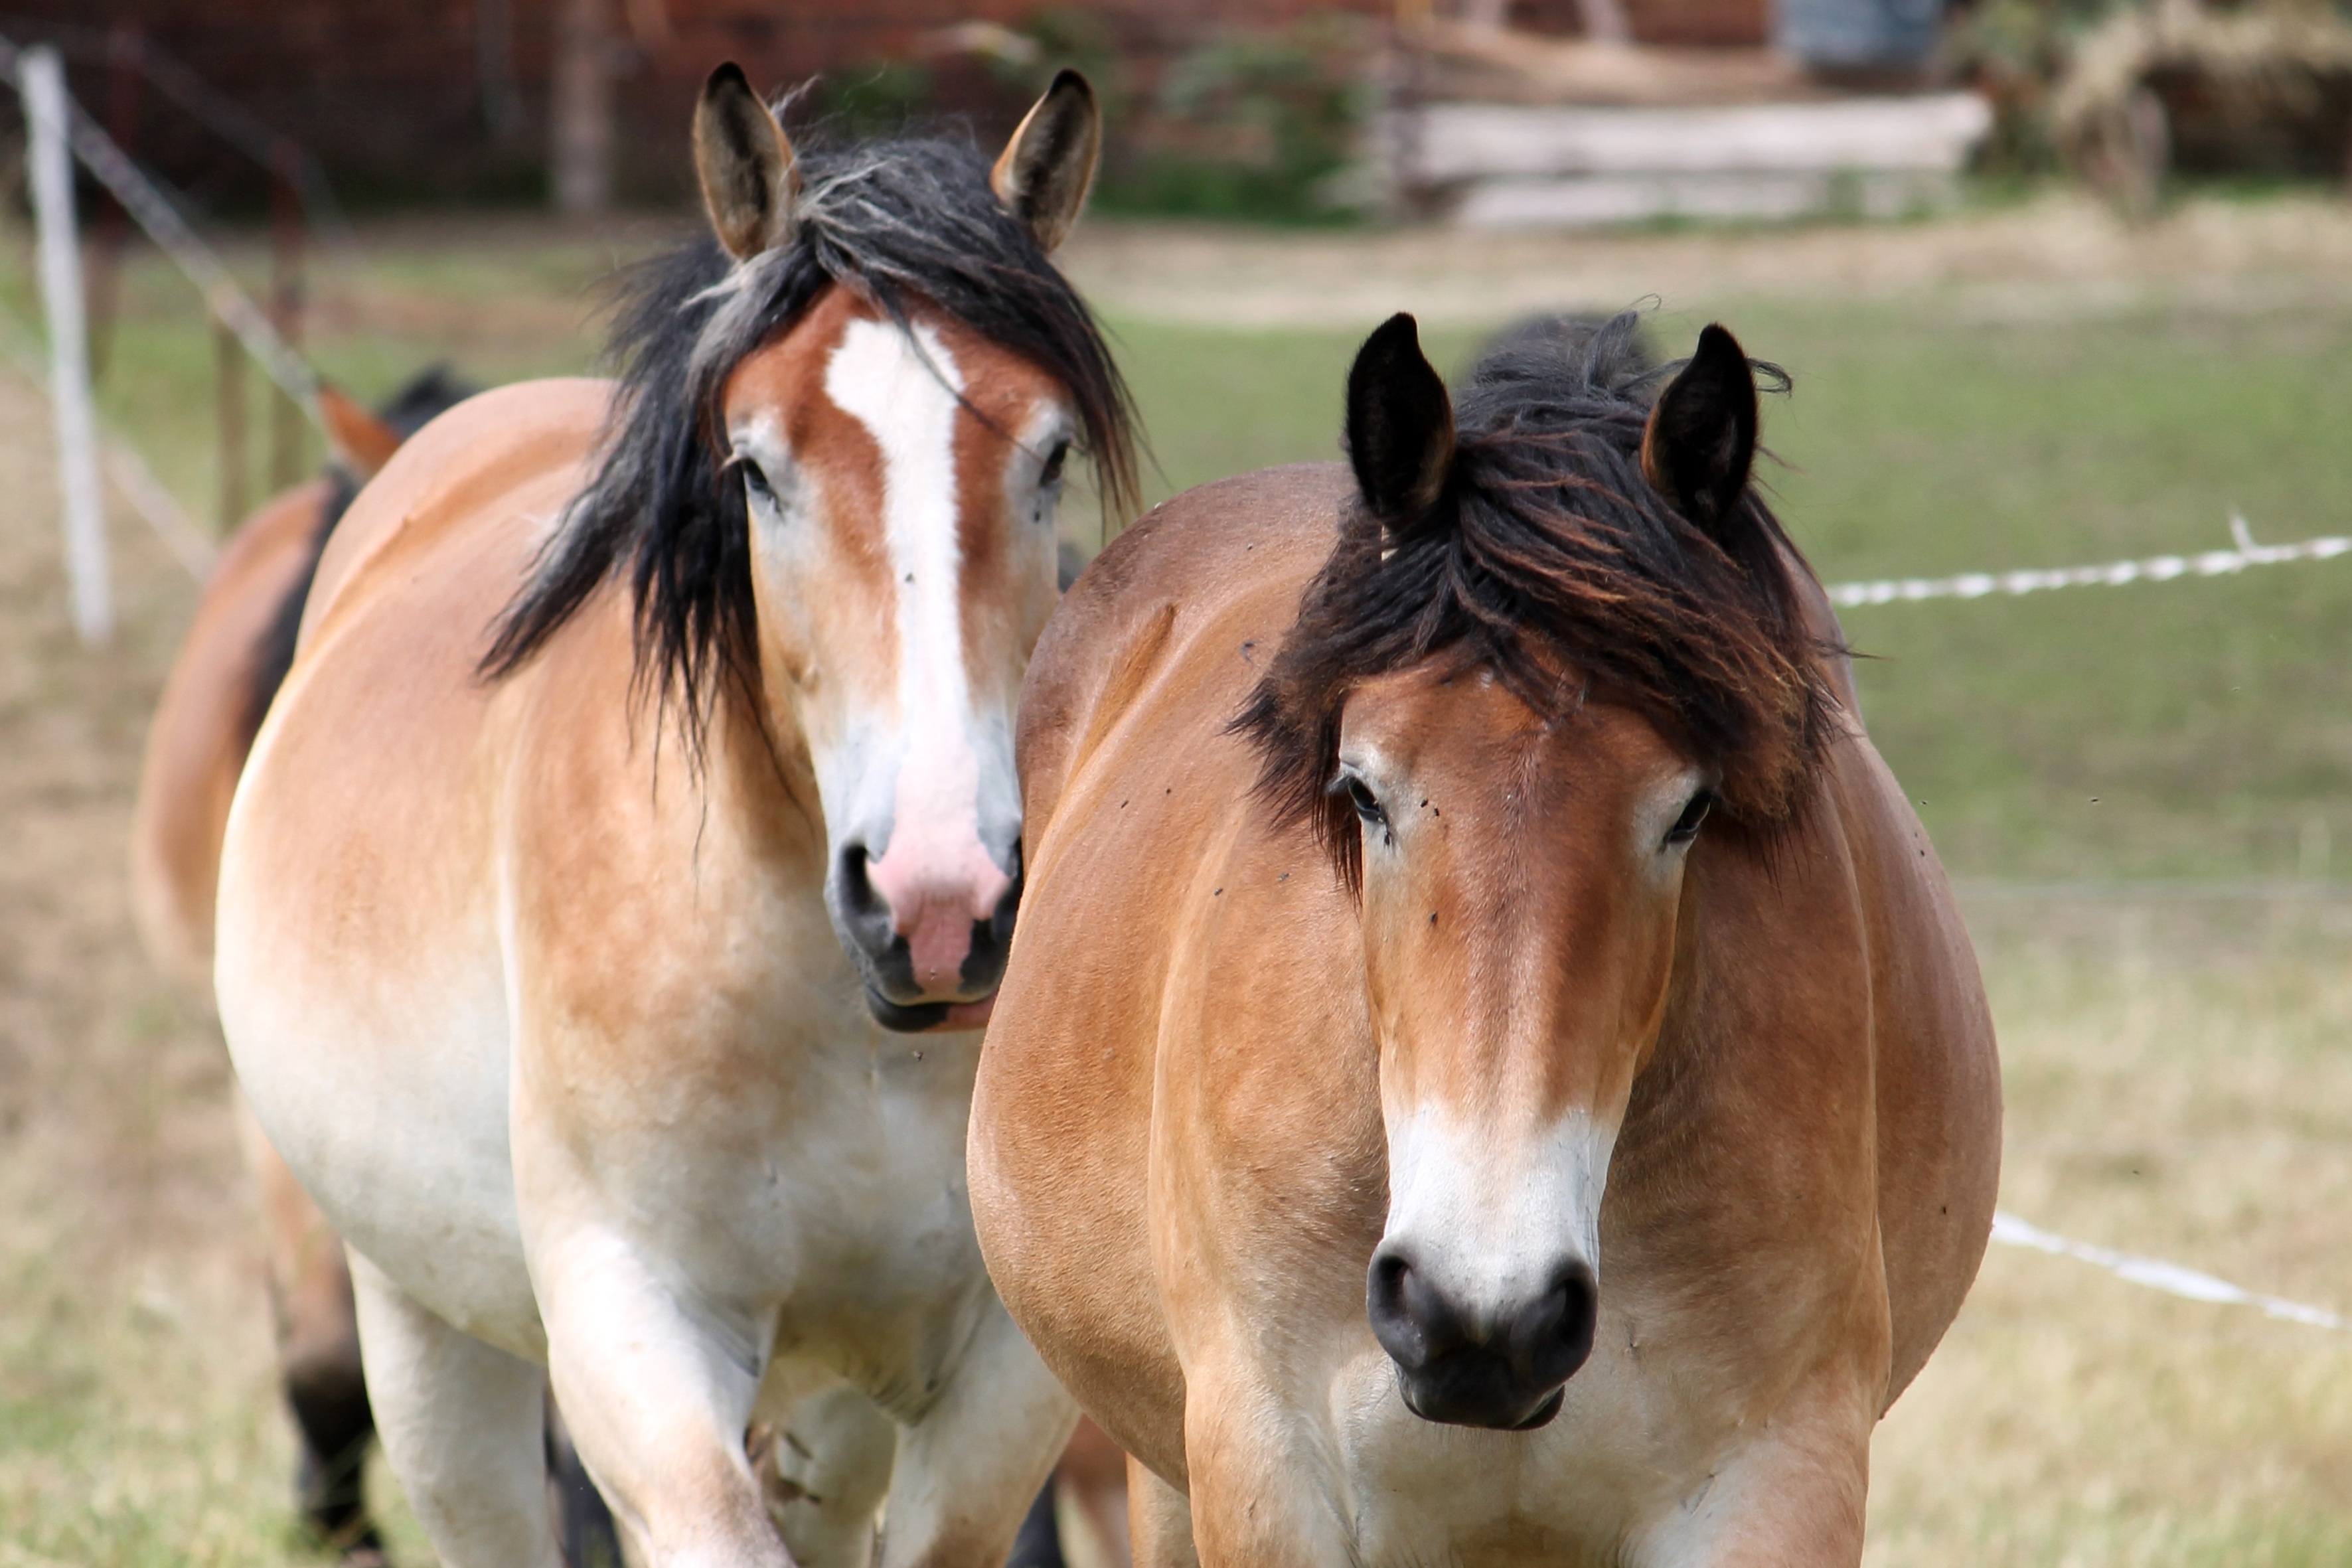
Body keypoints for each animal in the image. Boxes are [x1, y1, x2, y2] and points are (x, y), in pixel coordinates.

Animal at [216, 61, 1133, 1568]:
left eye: (1049, 455)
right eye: (752, 469)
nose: (938, 903)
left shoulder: (995, 1375)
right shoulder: (633, 1327)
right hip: (426, 1332)